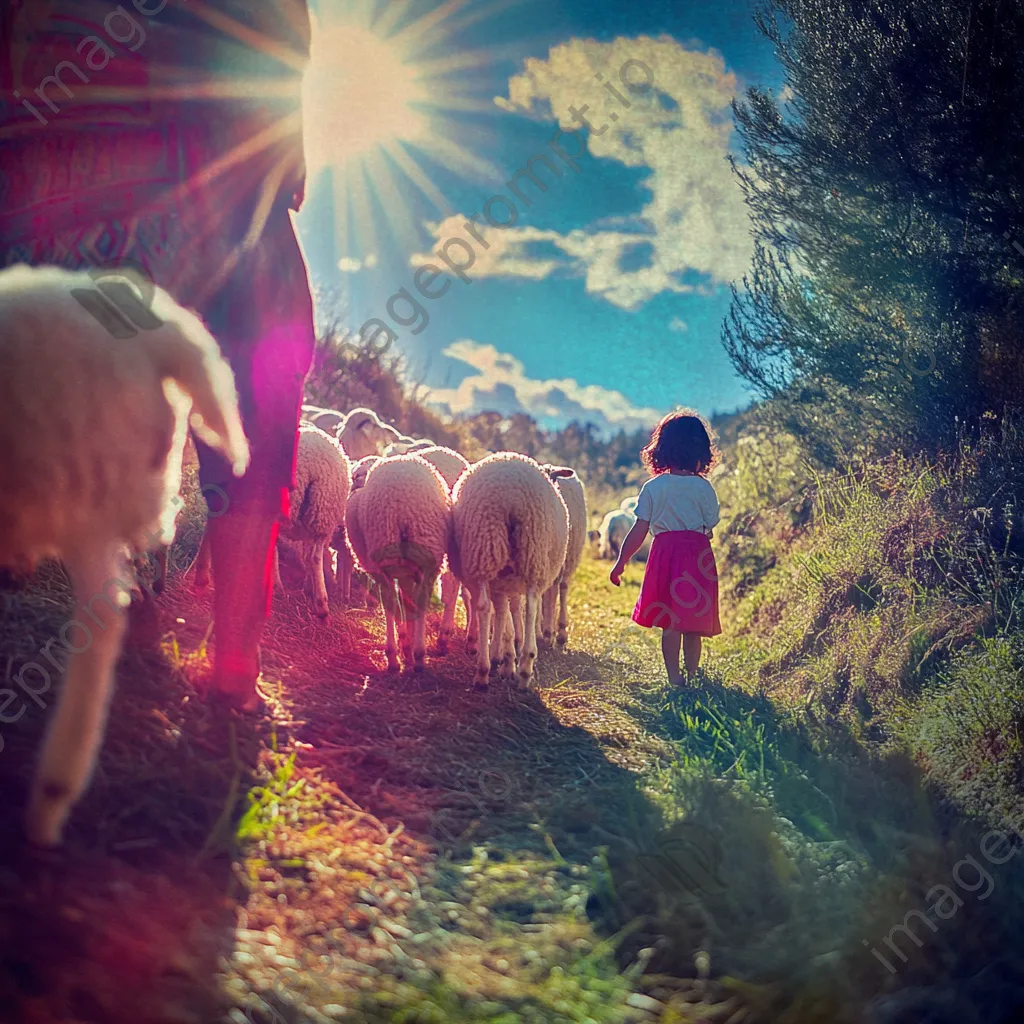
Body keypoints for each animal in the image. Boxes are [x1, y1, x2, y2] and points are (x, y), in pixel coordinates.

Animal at [344, 456, 448, 671]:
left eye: (356, 476)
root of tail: (402, 501)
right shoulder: (408, 572)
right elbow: (407, 603)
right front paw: (407, 647)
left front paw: (404, 645)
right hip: (428, 553)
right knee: (419, 599)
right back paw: (418, 656)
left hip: (383, 552)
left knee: (390, 600)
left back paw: (394, 657)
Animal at [454, 454, 573, 688]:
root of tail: (511, 495)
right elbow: (509, 612)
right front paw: (505, 659)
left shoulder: (502, 582)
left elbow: (502, 612)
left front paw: (501, 657)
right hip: (532, 554)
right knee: (531, 605)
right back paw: (524, 667)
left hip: (485, 550)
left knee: (484, 606)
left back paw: (486, 671)